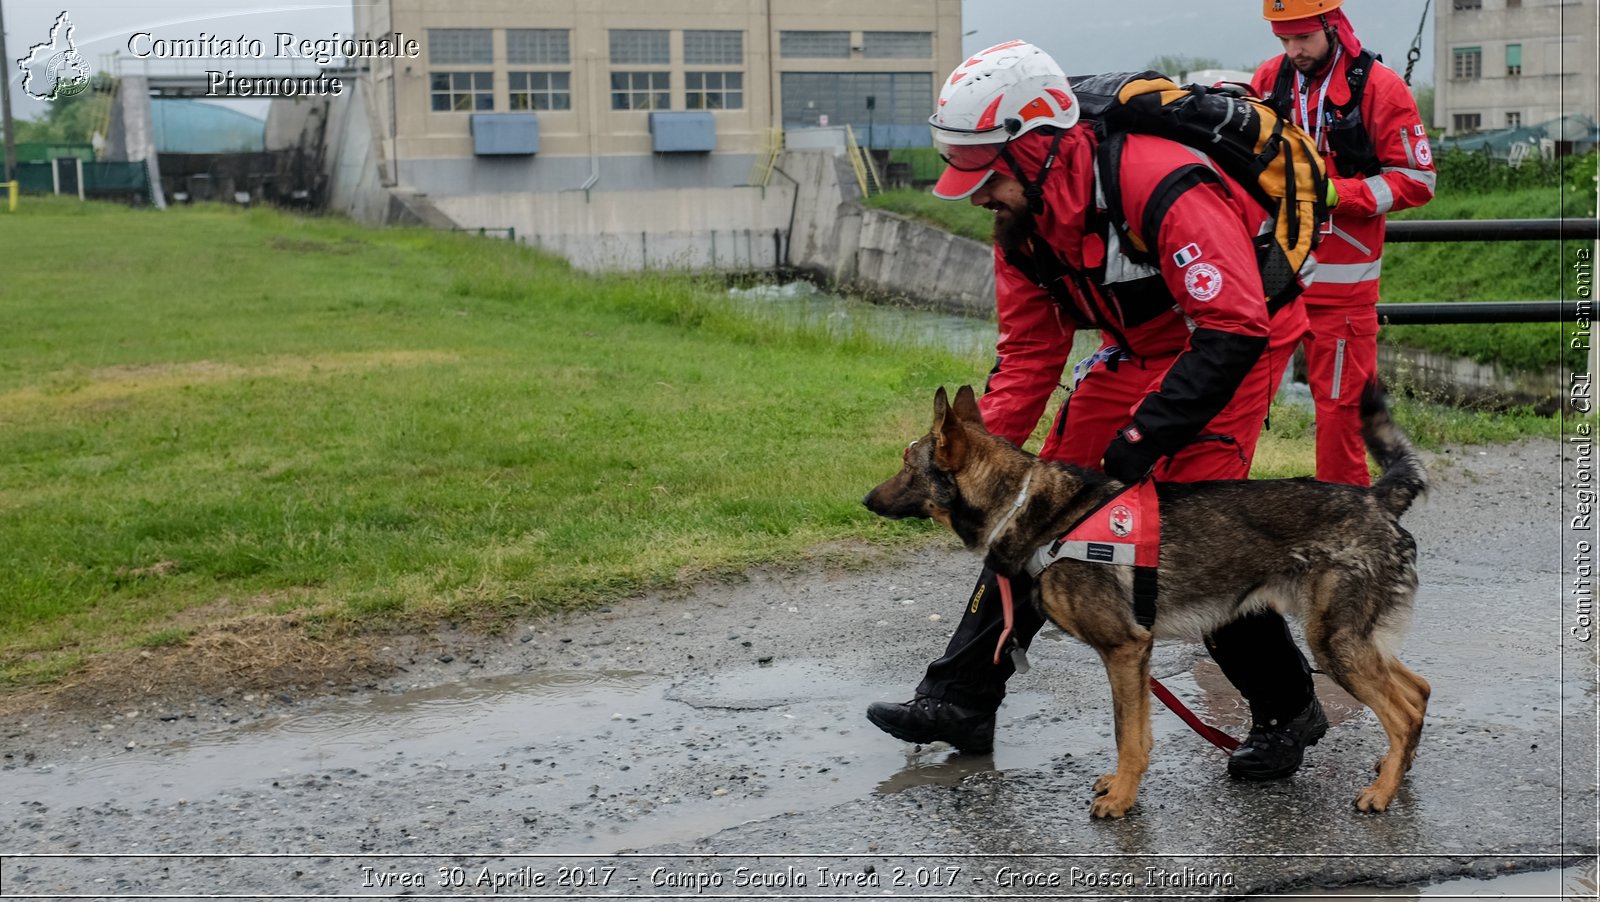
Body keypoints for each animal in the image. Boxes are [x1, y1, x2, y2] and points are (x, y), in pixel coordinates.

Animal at [870, 383, 1433, 818]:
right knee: (1419, 692)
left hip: (1334, 645)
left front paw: (1121, 799)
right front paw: (1122, 788)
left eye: (905, 464)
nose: (865, 500)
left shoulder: (1124, 651)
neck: (1026, 505)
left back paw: (1381, 793)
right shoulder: (1133, 658)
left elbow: (1128, 735)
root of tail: (1376, 498)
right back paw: (1395, 768)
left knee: (1402, 713)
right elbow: (1136, 734)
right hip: (1352, 643)